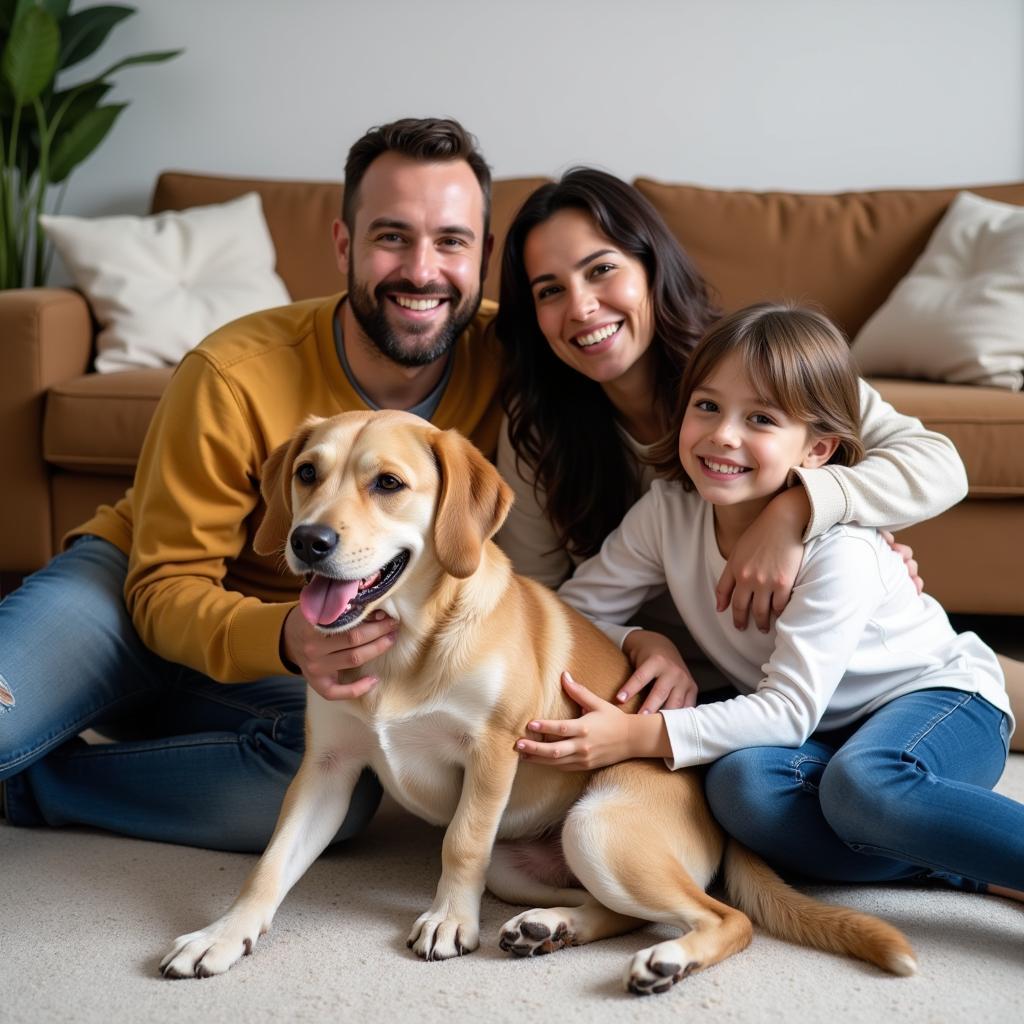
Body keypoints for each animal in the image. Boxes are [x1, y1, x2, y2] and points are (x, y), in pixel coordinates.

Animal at [157, 407, 913, 991]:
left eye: (388, 484)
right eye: (308, 473)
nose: (307, 540)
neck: (409, 643)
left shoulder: (493, 751)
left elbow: (461, 841)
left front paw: (449, 920)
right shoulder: (327, 769)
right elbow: (270, 865)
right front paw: (222, 935)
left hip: (597, 829)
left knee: (726, 918)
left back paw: (666, 960)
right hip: (524, 866)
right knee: (625, 914)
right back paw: (550, 927)